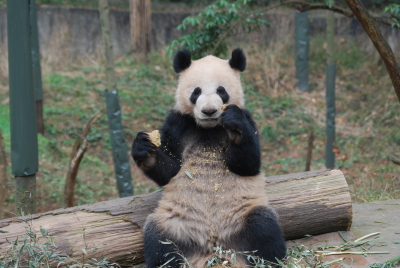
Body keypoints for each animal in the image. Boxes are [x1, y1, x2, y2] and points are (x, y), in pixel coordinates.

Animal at [130, 48, 284, 268]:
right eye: (196, 92)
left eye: (221, 91)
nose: (209, 111)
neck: (209, 128)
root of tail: (214, 247)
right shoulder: (178, 123)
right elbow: (170, 171)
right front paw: (145, 150)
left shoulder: (248, 118)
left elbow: (248, 164)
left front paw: (235, 127)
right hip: (175, 223)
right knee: (159, 242)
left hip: (242, 215)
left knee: (264, 227)